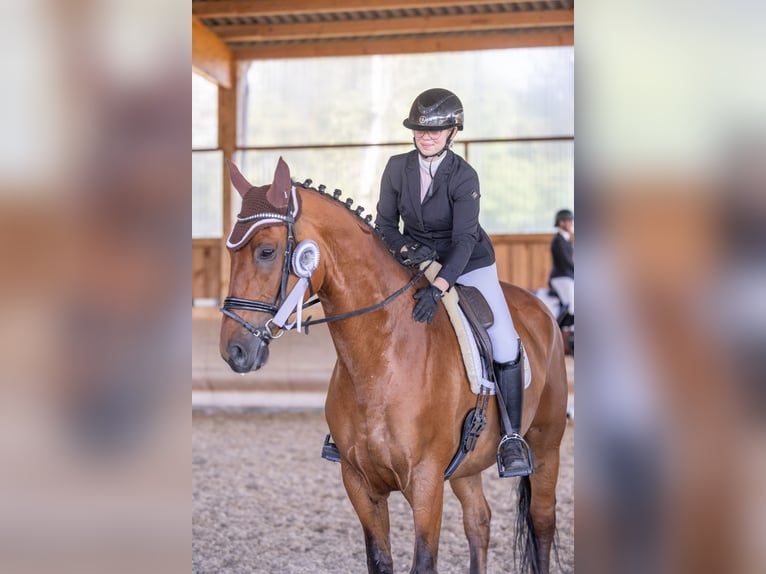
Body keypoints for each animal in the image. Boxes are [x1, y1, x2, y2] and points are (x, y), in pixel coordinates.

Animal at [219, 158, 569, 574]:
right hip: (467, 467)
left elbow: (424, 562)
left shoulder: (426, 482)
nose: (234, 350)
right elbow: (380, 560)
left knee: (542, 522)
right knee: (478, 520)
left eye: (267, 252)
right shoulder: (359, 483)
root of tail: (540, 310)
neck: (381, 358)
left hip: (546, 445)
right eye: (230, 252)